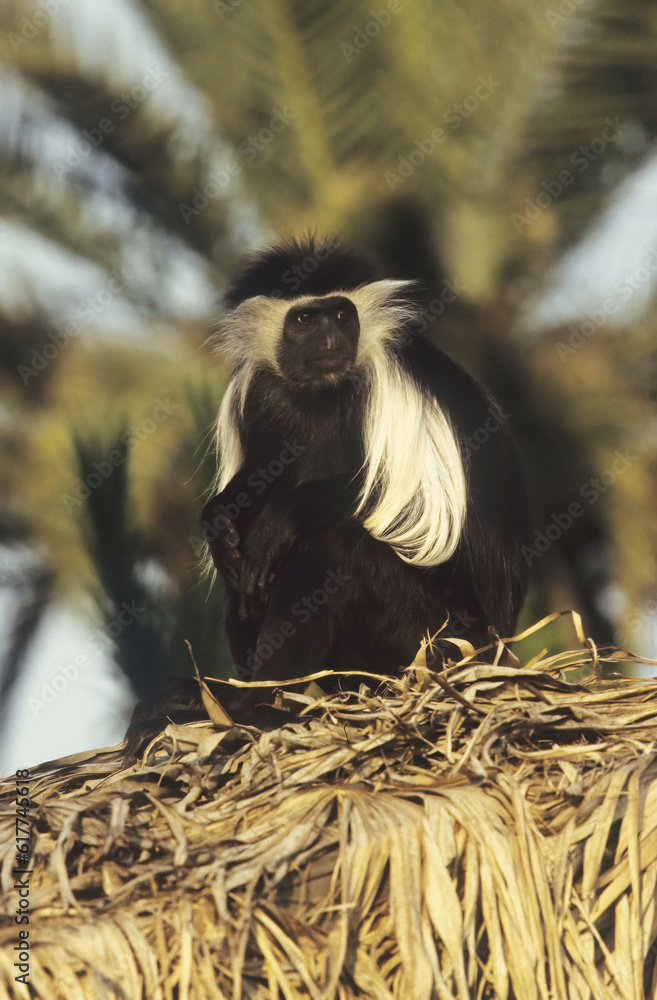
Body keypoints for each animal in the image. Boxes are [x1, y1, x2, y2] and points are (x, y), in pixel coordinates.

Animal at [200, 234, 528, 688]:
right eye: (305, 320)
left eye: (341, 314)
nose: (331, 344)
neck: (323, 391)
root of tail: (501, 642)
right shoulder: (261, 391)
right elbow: (258, 480)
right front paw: (218, 519)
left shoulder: (390, 382)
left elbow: (409, 503)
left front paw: (279, 518)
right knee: (241, 578)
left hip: (439, 636)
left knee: (334, 547)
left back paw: (262, 695)